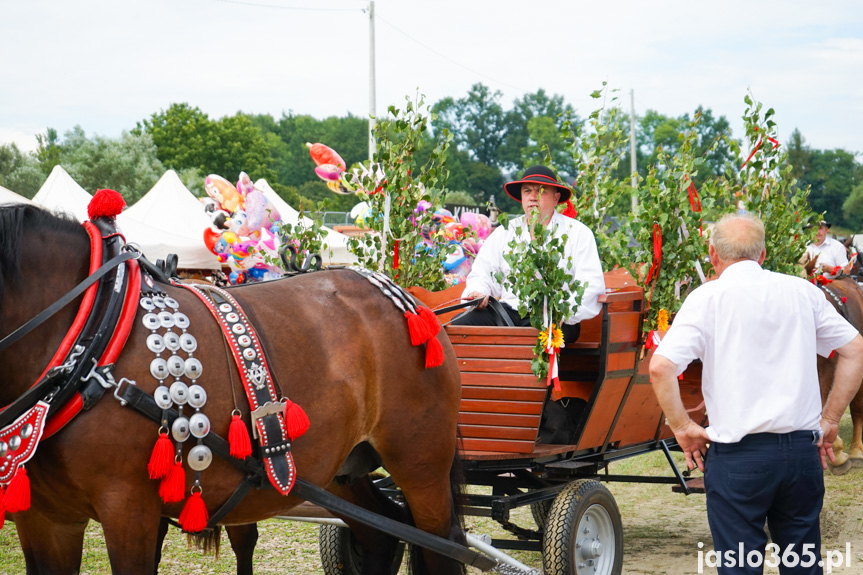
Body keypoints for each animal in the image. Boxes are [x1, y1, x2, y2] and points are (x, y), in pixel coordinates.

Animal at [0, 205, 466, 572]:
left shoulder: (129, 512)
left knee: (441, 547)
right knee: (381, 535)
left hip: (421, 466)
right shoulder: (44, 519)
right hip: (336, 469)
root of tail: (408, 298)